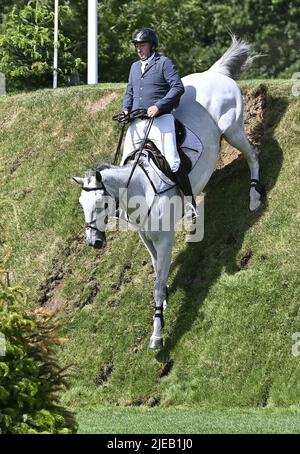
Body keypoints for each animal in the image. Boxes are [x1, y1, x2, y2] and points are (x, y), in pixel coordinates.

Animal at [74, 37, 264, 350]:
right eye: (81, 203)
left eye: (101, 203)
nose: (94, 242)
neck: (140, 190)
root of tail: (216, 74)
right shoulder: (147, 238)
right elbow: (157, 271)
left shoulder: (164, 240)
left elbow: (156, 285)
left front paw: (157, 333)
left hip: (233, 130)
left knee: (253, 156)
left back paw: (255, 197)